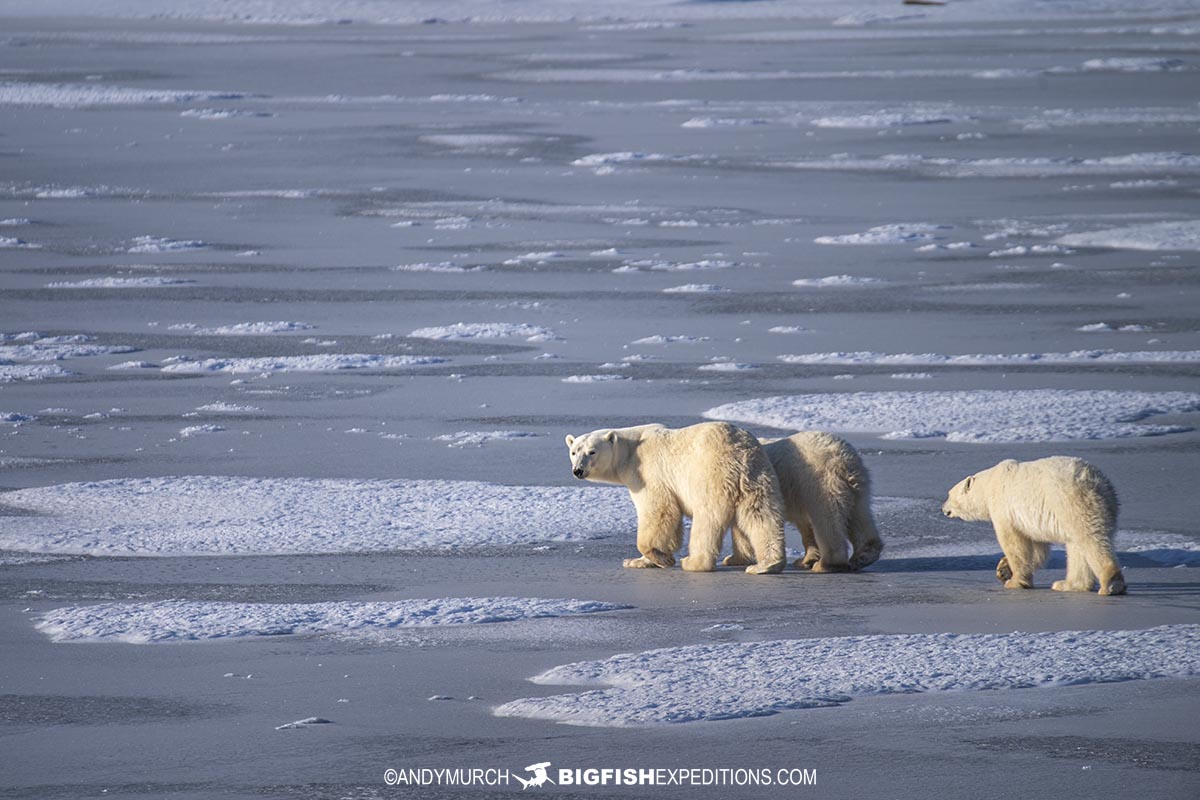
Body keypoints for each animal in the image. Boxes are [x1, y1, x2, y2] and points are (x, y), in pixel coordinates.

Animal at [564, 419, 787, 575]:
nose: (578, 470)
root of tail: (738, 456)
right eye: (574, 451)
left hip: (710, 476)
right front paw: (642, 561)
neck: (630, 451)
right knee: (761, 516)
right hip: (757, 477)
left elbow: (658, 510)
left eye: (592, 452)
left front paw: (659, 558)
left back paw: (693, 562)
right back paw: (764, 564)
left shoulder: (648, 473)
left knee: (707, 521)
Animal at [729, 434, 883, 573]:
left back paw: (826, 564)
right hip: (858, 486)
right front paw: (806, 559)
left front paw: (734, 559)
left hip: (821, 482)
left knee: (827, 520)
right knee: (859, 515)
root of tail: (844, 460)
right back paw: (863, 555)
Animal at [940, 455, 1128, 594]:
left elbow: (1014, 543)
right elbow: (1037, 548)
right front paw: (1003, 569)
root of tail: (1098, 484)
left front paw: (1014, 581)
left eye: (948, 494)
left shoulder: (1003, 507)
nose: (942, 508)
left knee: (1089, 538)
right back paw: (1067, 584)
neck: (989, 485)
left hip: (1071, 501)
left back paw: (1111, 584)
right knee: (1076, 545)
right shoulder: (1031, 521)